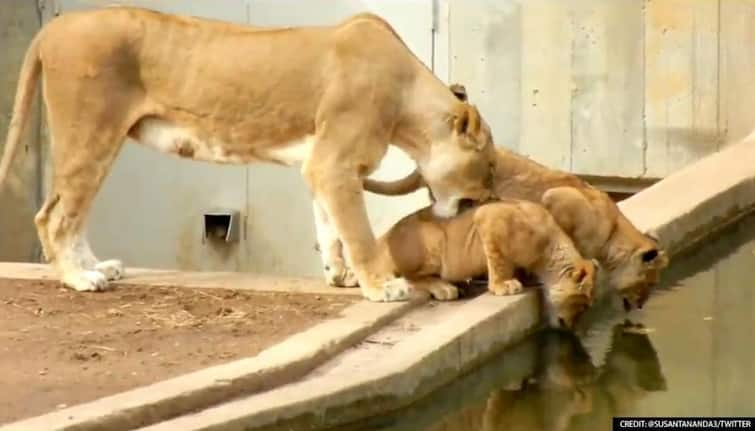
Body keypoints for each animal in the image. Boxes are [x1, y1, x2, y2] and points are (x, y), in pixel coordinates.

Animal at [0, 7, 496, 304]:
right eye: (489, 167)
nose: (490, 201)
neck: (408, 104)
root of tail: (57, 23)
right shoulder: (334, 164)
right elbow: (357, 233)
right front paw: (382, 286)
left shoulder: (322, 167)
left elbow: (330, 229)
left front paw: (340, 277)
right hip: (90, 134)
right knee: (54, 215)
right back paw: (80, 279)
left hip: (103, 141)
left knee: (70, 213)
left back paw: (97, 267)